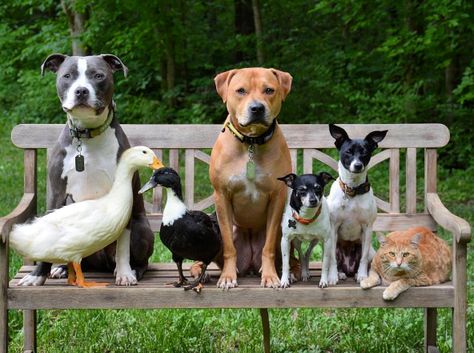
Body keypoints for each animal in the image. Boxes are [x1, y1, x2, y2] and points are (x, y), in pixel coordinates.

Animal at [328, 124, 386, 280]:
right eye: (348, 152)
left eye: (365, 152)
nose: (358, 165)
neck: (353, 190)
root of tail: (349, 268)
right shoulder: (333, 228)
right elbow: (332, 259)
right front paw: (332, 277)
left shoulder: (367, 228)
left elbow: (363, 258)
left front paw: (362, 275)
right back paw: (340, 273)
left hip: (369, 249)